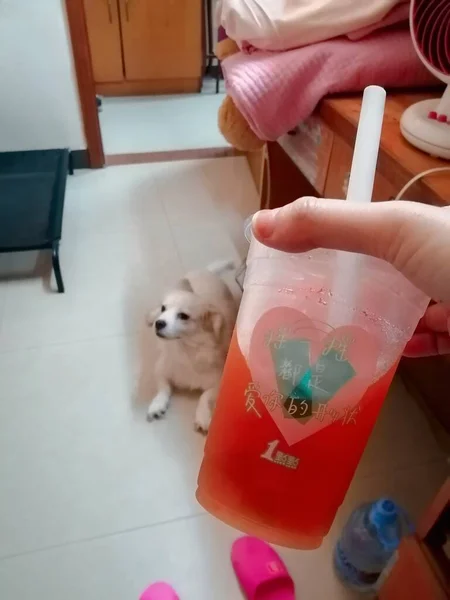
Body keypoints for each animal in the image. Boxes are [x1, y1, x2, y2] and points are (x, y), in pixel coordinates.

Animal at [147, 260, 239, 434]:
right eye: (164, 309)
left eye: (183, 316)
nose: (159, 323)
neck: (185, 348)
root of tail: (207, 271)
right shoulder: (160, 370)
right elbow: (163, 388)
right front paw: (157, 405)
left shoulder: (217, 382)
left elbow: (204, 396)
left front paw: (202, 417)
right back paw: (149, 317)